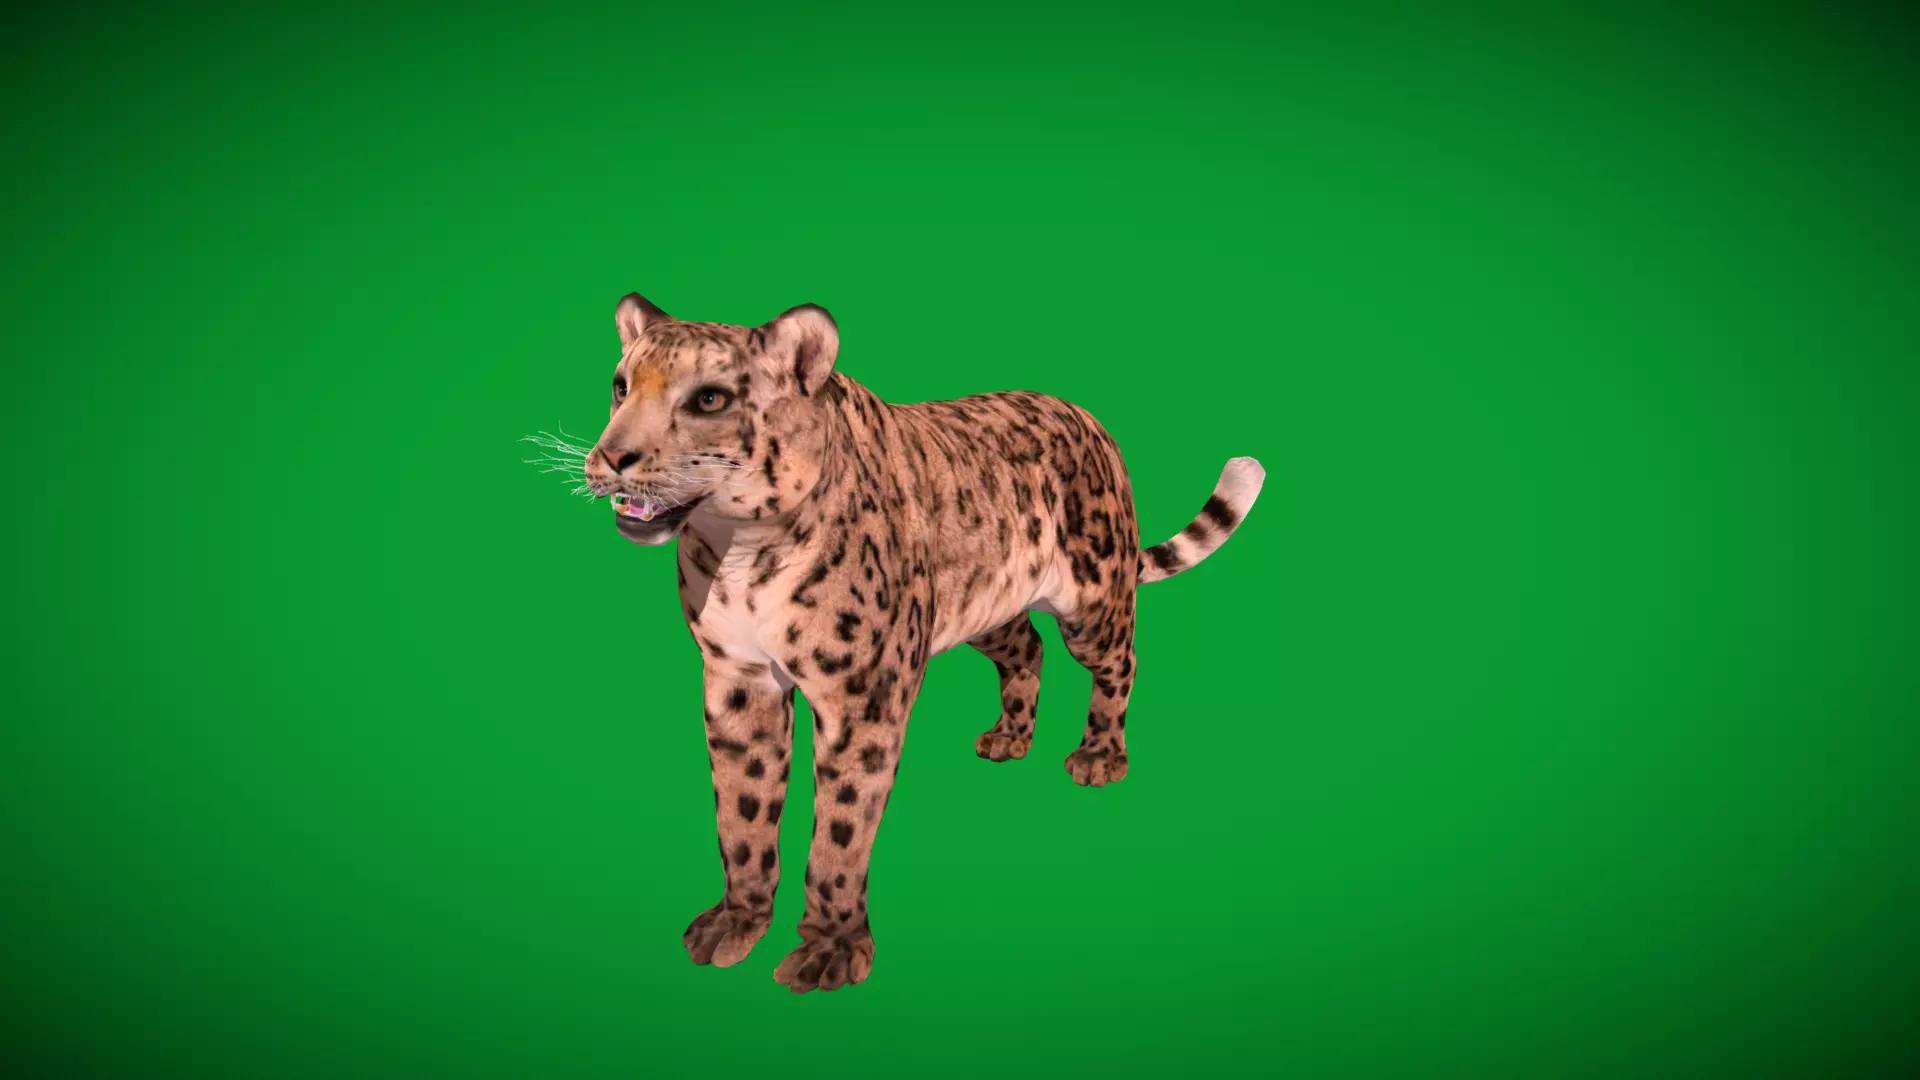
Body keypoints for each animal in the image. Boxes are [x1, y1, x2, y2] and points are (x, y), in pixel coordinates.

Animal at [574, 292, 1265, 993]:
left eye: (709, 400)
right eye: (620, 386)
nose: (610, 458)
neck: (742, 550)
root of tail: (1088, 418)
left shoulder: (864, 696)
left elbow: (842, 827)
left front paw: (831, 948)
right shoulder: (737, 679)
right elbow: (742, 810)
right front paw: (737, 921)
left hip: (1094, 600)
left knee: (1120, 662)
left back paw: (1099, 755)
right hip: (987, 605)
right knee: (1028, 648)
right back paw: (1009, 737)